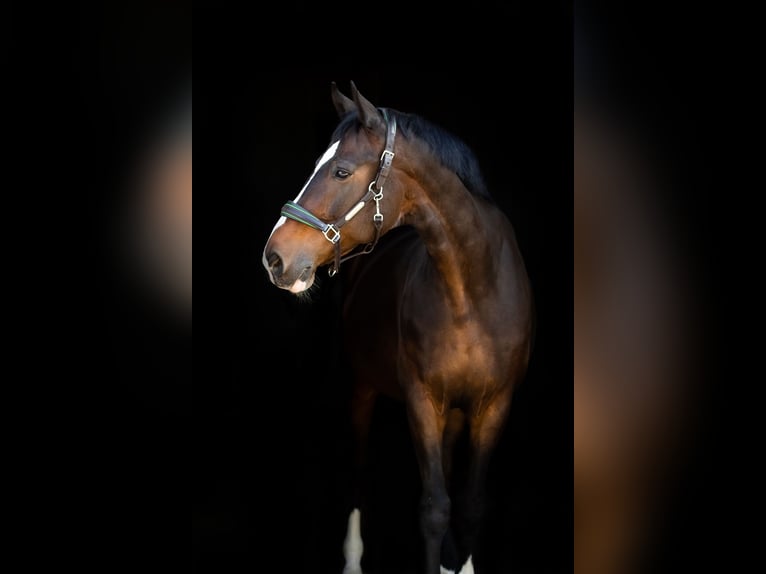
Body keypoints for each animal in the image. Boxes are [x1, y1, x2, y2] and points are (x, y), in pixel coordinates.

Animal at [262, 82, 533, 574]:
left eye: (342, 171)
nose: (274, 258)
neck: (473, 292)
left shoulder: (494, 406)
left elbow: (470, 506)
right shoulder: (422, 402)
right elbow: (434, 507)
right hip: (362, 388)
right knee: (357, 469)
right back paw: (353, 561)